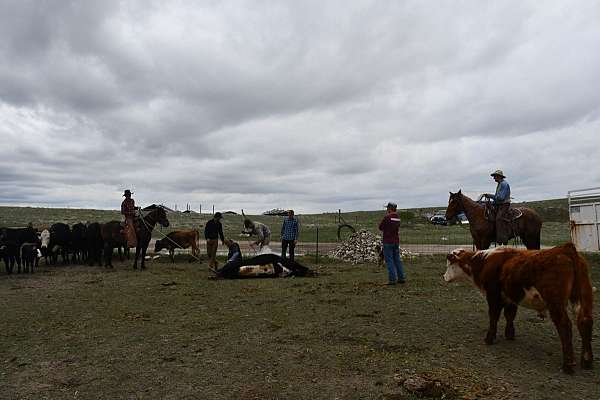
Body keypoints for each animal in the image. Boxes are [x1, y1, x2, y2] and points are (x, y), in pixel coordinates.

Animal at [442, 242, 592, 374]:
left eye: (449, 264)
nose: (444, 277)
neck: (484, 261)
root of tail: (566, 249)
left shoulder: (493, 296)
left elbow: (493, 317)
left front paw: (489, 338)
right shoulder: (510, 298)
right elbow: (510, 315)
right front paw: (509, 334)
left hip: (556, 302)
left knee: (565, 326)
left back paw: (568, 365)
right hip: (582, 298)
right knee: (584, 322)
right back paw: (586, 361)